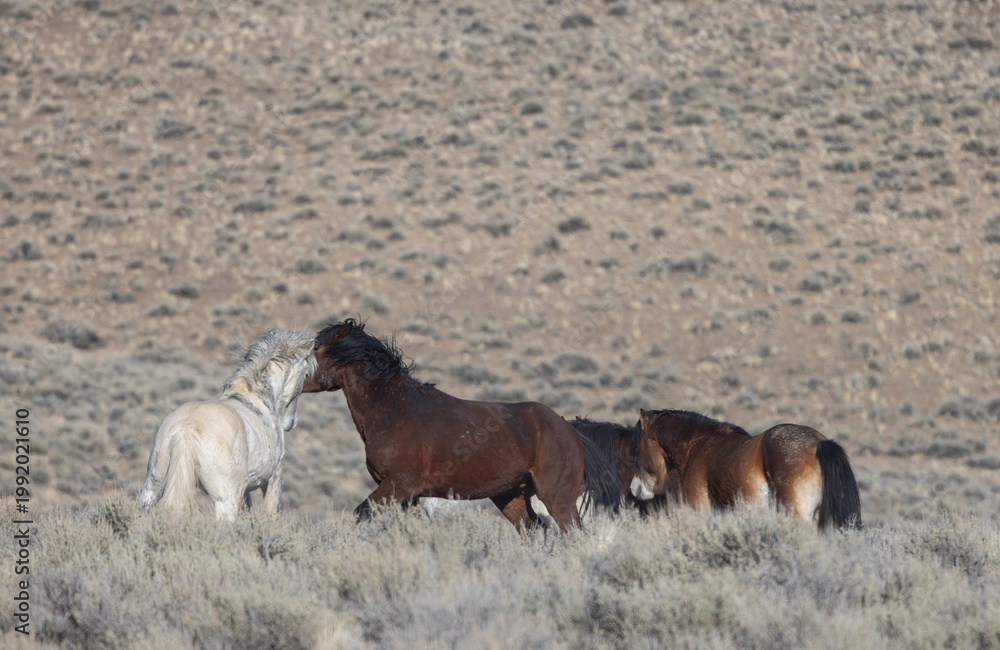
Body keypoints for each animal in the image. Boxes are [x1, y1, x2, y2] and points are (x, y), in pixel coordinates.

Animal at [138, 329, 317, 521]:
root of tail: (187, 430)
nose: (291, 422)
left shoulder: (245, 491)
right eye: (306, 374)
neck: (256, 397)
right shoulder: (273, 478)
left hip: (151, 489)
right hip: (226, 501)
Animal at [300, 318, 619, 532]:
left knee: (571, 532)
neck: (394, 409)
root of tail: (568, 429)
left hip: (556, 496)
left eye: (316, 350)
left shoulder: (399, 486)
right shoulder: (405, 495)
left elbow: (361, 513)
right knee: (533, 529)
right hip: (510, 496)